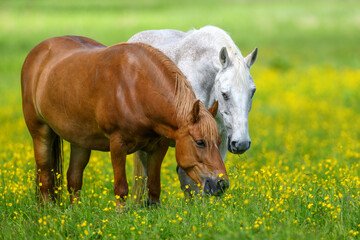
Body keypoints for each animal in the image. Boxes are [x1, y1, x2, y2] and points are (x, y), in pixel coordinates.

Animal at [20, 35, 228, 206]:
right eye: (200, 142)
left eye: (218, 141)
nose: (222, 183)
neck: (136, 89)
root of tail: (38, 52)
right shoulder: (118, 146)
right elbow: (121, 189)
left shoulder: (157, 148)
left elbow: (154, 188)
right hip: (41, 132)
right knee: (45, 176)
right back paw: (47, 210)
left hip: (80, 140)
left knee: (74, 178)